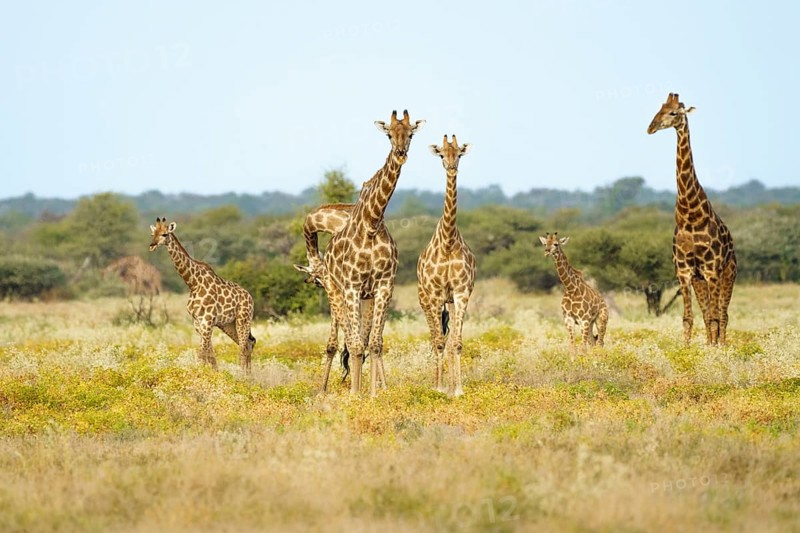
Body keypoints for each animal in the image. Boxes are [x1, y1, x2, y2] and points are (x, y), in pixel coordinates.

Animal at [149, 217, 256, 373]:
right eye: (153, 234)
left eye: (164, 234)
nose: (152, 245)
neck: (193, 283)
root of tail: (250, 297)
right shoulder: (198, 323)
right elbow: (209, 354)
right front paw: (214, 374)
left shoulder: (207, 321)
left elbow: (202, 354)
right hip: (228, 324)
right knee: (248, 343)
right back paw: (249, 376)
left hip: (243, 319)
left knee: (243, 347)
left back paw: (242, 376)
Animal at [324, 109, 425, 396]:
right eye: (389, 134)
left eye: (411, 134)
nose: (401, 153)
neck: (371, 224)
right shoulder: (351, 287)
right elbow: (356, 345)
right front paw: (355, 395)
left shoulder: (383, 286)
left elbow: (375, 343)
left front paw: (376, 394)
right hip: (336, 291)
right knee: (342, 341)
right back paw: (327, 389)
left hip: (366, 297)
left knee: (364, 339)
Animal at [648, 93, 736, 346]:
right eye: (659, 109)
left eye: (674, 112)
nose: (651, 127)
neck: (691, 215)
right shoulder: (685, 272)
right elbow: (689, 319)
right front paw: (689, 350)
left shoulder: (711, 270)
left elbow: (715, 317)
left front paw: (715, 351)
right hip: (700, 280)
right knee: (708, 315)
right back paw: (710, 343)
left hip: (728, 274)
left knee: (722, 315)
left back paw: (721, 345)